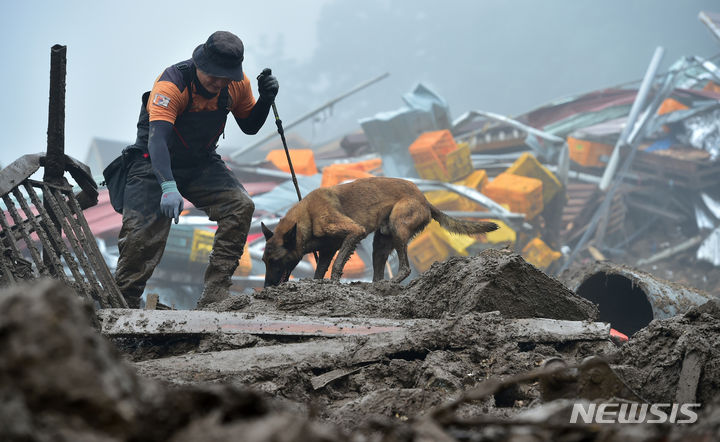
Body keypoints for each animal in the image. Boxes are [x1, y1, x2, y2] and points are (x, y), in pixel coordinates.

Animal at [260, 176, 500, 286]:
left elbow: (337, 265)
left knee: (405, 268)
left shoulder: (353, 232)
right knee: (378, 274)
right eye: (264, 261)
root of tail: (424, 199)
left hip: (397, 225)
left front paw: (334, 282)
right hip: (381, 243)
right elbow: (321, 270)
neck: (305, 218)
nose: (267, 286)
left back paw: (392, 283)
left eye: (275, 261)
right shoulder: (327, 251)